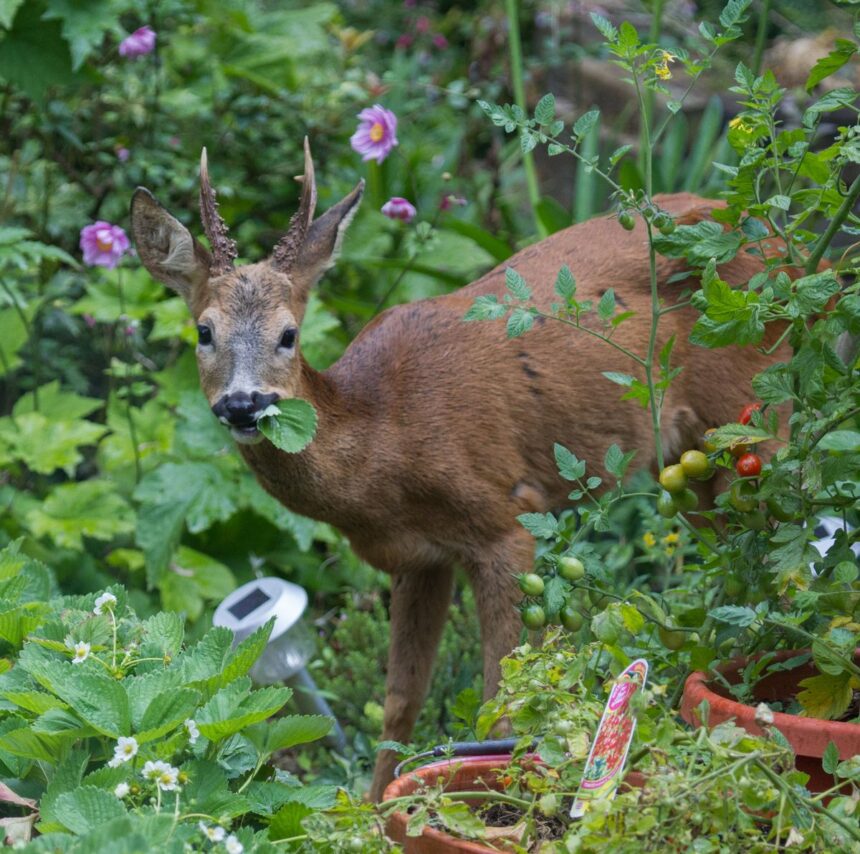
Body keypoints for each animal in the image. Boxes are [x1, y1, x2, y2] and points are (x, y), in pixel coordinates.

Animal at [129, 140, 788, 804]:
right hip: (689, 463)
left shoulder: (506, 519)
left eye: (288, 334)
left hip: (755, 411)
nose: (244, 404)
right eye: (204, 331)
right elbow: (400, 698)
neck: (385, 440)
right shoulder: (417, 558)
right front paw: (375, 809)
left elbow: (503, 700)